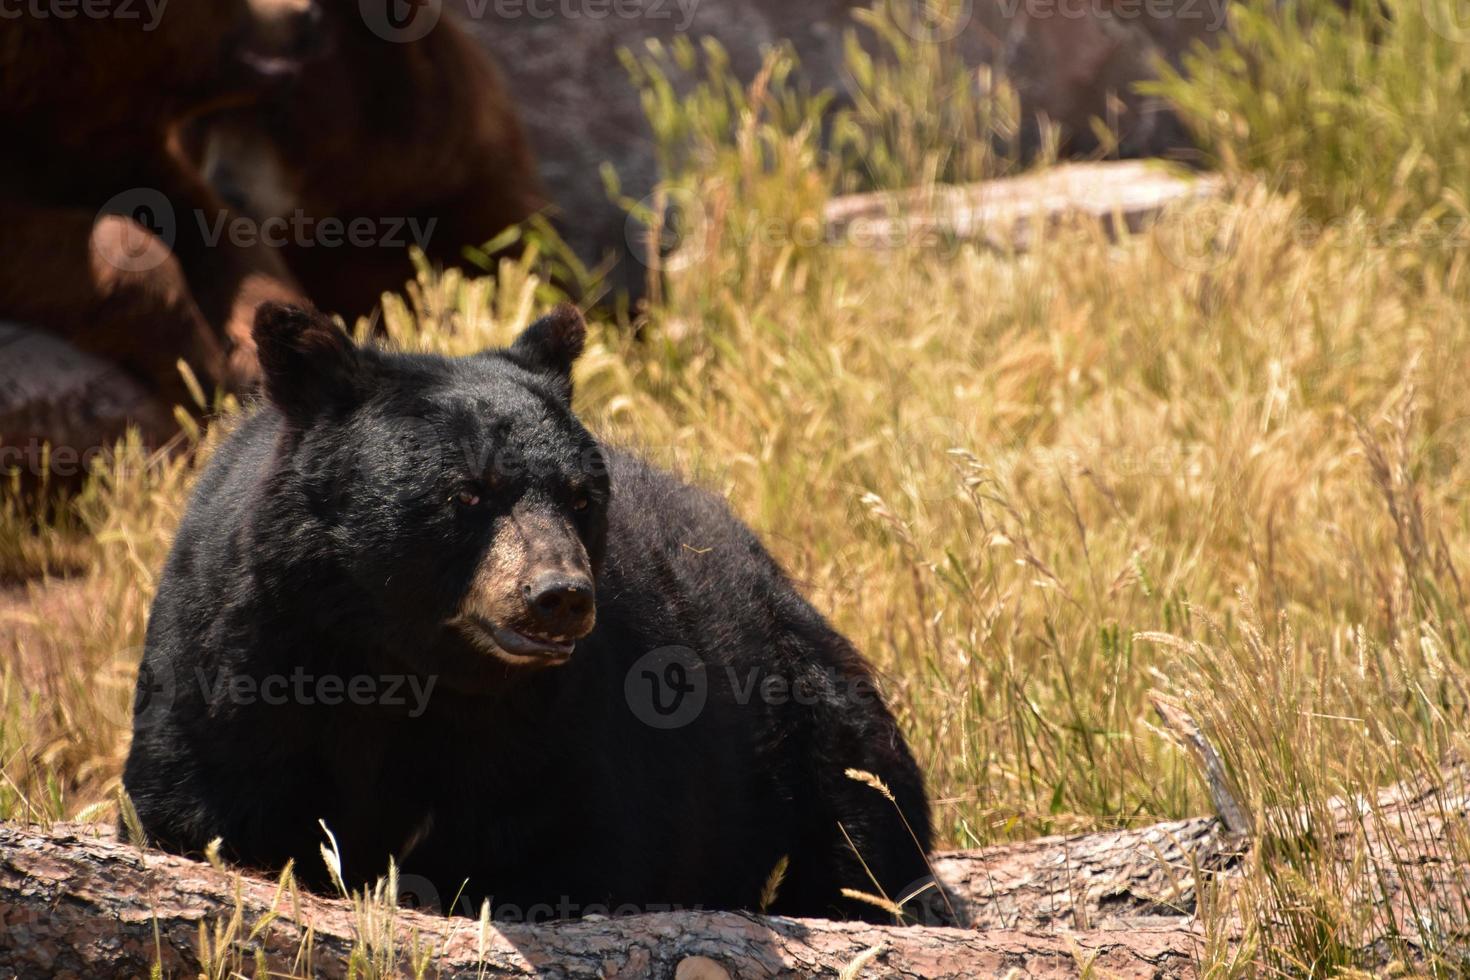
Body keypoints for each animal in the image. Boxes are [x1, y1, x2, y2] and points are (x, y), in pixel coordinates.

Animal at [126, 302, 929, 922]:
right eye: (468, 492)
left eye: (580, 496)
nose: (560, 596)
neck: (399, 667)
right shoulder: (237, 652)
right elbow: (195, 803)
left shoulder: (562, 720)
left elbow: (577, 845)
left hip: (802, 694)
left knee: (864, 807)